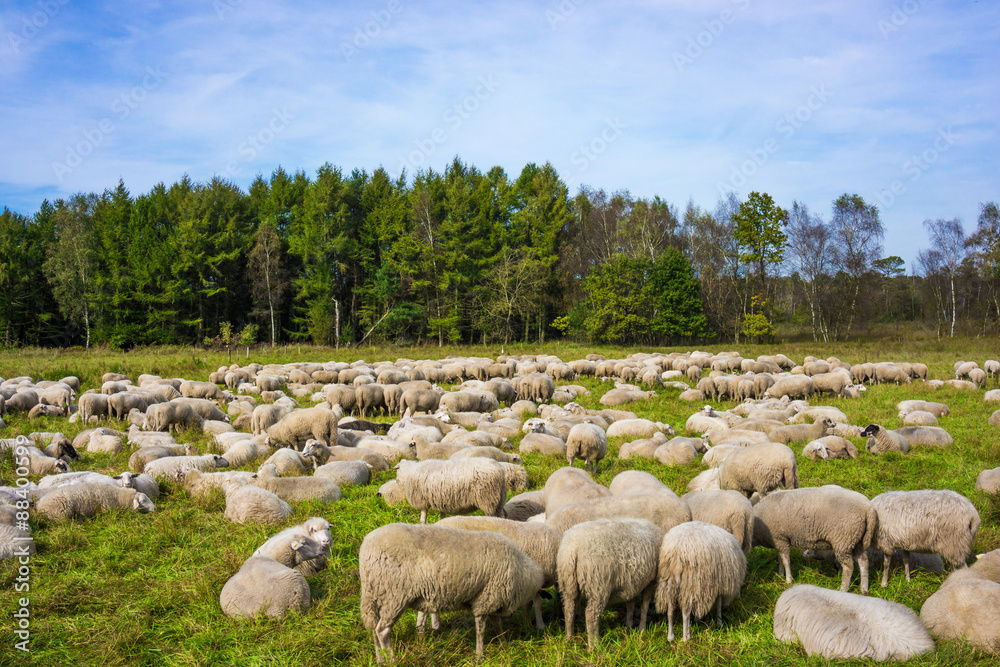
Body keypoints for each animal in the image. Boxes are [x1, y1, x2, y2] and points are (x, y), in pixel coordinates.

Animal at [359, 522, 544, 662]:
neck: (521, 572)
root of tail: (365, 551)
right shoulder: (487, 598)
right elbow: (481, 630)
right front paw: (480, 656)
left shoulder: (491, 599)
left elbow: (497, 624)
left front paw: (504, 643)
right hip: (394, 595)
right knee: (382, 630)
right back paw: (392, 660)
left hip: (375, 594)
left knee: (374, 629)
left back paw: (380, 659)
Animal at [557, 517, 664, 650]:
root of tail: (573, 548)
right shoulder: (650, 582)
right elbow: (644, 606)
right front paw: (642, 630)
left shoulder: (632, 583)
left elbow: (631, 604)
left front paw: (629, 625)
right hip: (598, 585)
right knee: (591, 615)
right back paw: (593, 646)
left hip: (568, 582)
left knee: (569, 610)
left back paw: (569, 638)